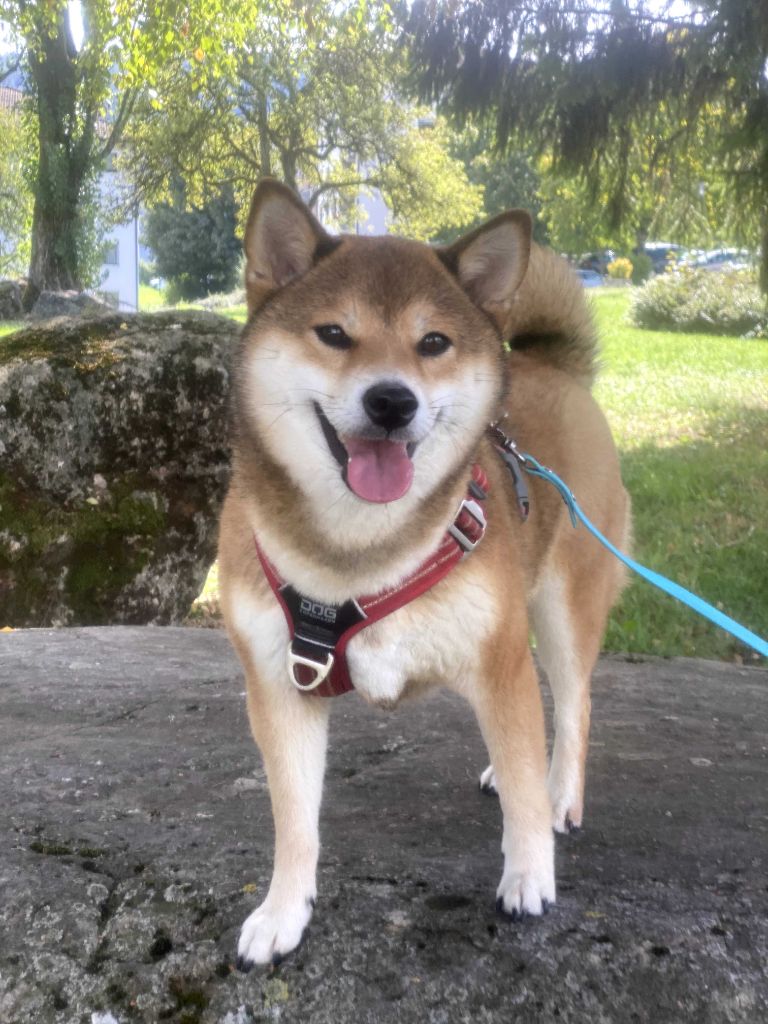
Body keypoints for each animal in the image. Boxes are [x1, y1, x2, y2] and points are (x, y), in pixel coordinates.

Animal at [218, 179, 630, 968]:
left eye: (433, 342)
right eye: (334, 334)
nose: (391, 399)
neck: (361, 553)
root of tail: (554, 370)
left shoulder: (498, 661)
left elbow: (527, 783)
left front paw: (529, 874)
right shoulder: (280, 683)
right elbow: (295, 818)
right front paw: (283, 910)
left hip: (564, 605)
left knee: (574, 706)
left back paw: (560, 793)